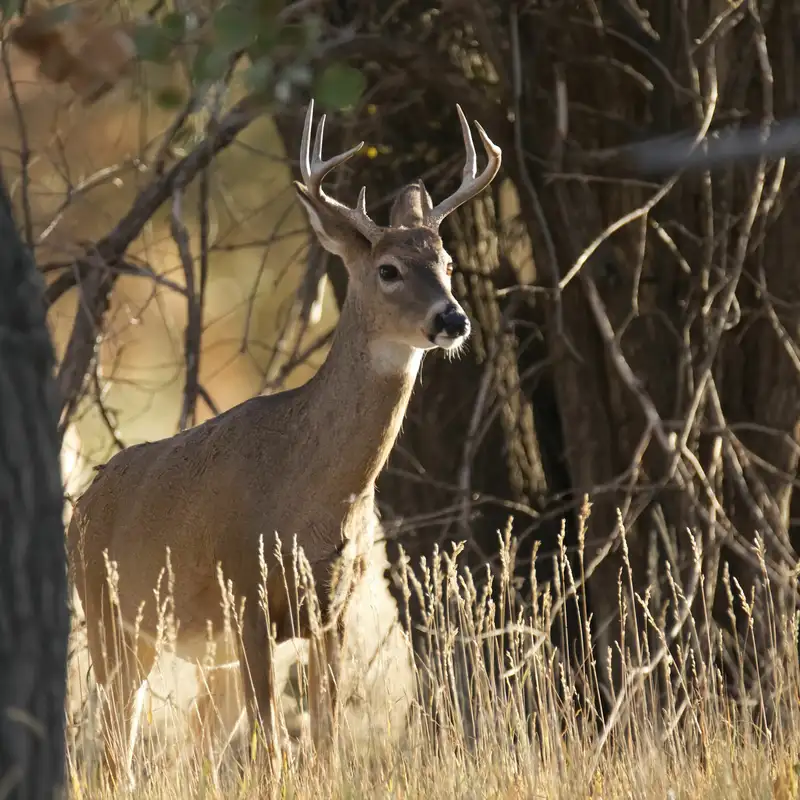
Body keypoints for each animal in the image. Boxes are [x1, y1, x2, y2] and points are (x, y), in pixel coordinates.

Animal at [67, 98, 501, 785]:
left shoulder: (333, 613)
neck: (313, 499)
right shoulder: (246, 594)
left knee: (184, 748)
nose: (453, 318)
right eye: (389, 270)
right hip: (113, 619)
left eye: (449, 265)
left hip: (196, 652)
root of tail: (81, 506)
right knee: (113, 753)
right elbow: (272, 751)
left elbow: (324, 747)